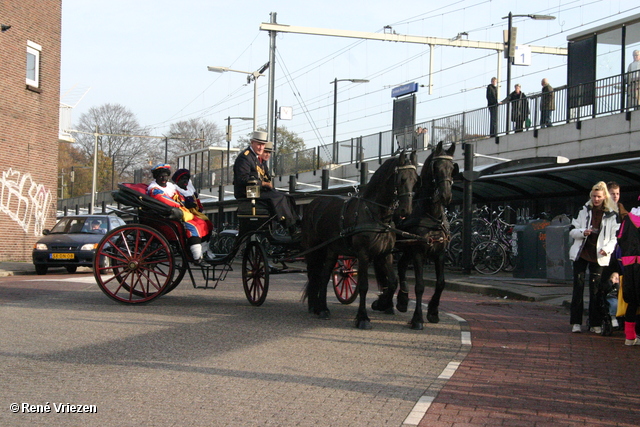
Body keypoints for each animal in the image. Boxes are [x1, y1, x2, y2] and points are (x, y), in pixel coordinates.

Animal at [302, 150, 420, 332]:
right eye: (401, 179)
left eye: (415, 180)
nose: (405, 211)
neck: (375, 214)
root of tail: (314, 203)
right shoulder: (363, 255)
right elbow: (364, 286)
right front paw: (363, 318)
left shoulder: (385, 254)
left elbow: (393, 282)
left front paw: (382, 303)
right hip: (314, 249)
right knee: (313, 274)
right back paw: (316, 306)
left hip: (331, 251)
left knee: (323, 275)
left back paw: (322, 308)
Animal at [372, 140, 458, 332]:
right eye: (436, 167)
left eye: (452, 168)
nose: (446, 195)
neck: (430, 214)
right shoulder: (419, 252)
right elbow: (419, 286)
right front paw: (418, 318)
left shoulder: (439, 253)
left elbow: (441, 283)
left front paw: (433, 312)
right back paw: (387, 302)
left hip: (405, 249)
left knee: (401, 267)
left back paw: (399, 301)